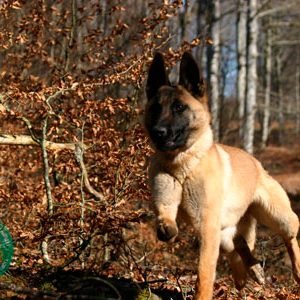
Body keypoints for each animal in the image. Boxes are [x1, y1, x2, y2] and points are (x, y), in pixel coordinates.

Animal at [144, 52, 300, 298]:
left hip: (278, 217)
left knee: (290, 237)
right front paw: (167, 230)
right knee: (239, 245)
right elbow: (165, 217)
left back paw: (295, 270)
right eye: (156, 108)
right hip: (227, 234)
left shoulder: (208, 226)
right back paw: (251, 270)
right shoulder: (166, 199)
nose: (158, 132)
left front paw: (202, 295)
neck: (183, 165)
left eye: (179, 107)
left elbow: (204, 272)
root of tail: (256, 162)